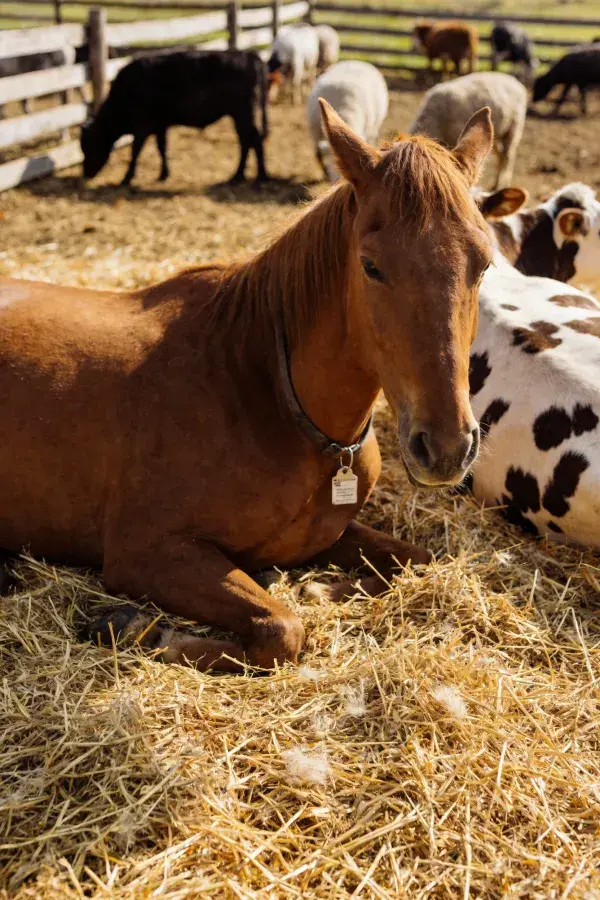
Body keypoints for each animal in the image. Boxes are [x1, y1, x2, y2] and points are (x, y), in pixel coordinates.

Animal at [0, 101, 493, 671]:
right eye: (371, 266)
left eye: (484, 265)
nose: (447, 447)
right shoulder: (144, 552)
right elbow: (281, 629)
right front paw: (132, 626)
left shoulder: (331, 533)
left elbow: (418, 559)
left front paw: (314, 588)